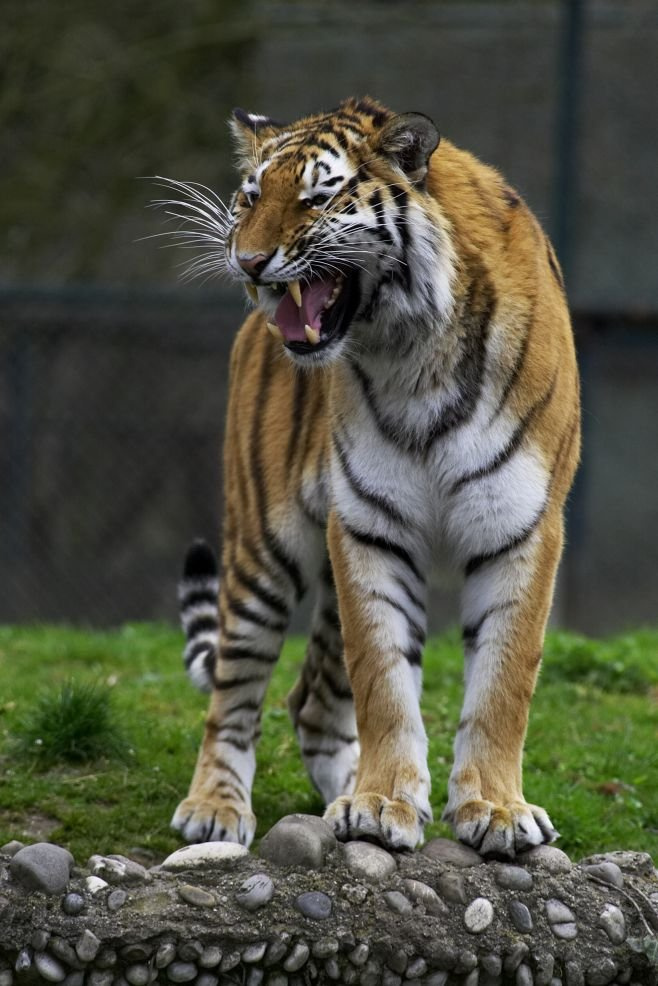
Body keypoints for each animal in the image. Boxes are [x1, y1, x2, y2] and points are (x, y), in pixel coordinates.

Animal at [167, 96, 580, 858]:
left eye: (317, 196)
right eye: (252, 195)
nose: (247, 260)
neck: (411, 352)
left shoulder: (521, 525)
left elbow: (503, 683)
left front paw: (496, 810)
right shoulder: (371, 527)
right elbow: (382, 678)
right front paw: (383, 802)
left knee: (311, 701)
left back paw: (344, 785)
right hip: (264, 547)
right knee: (236, 694)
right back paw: (217, 808)